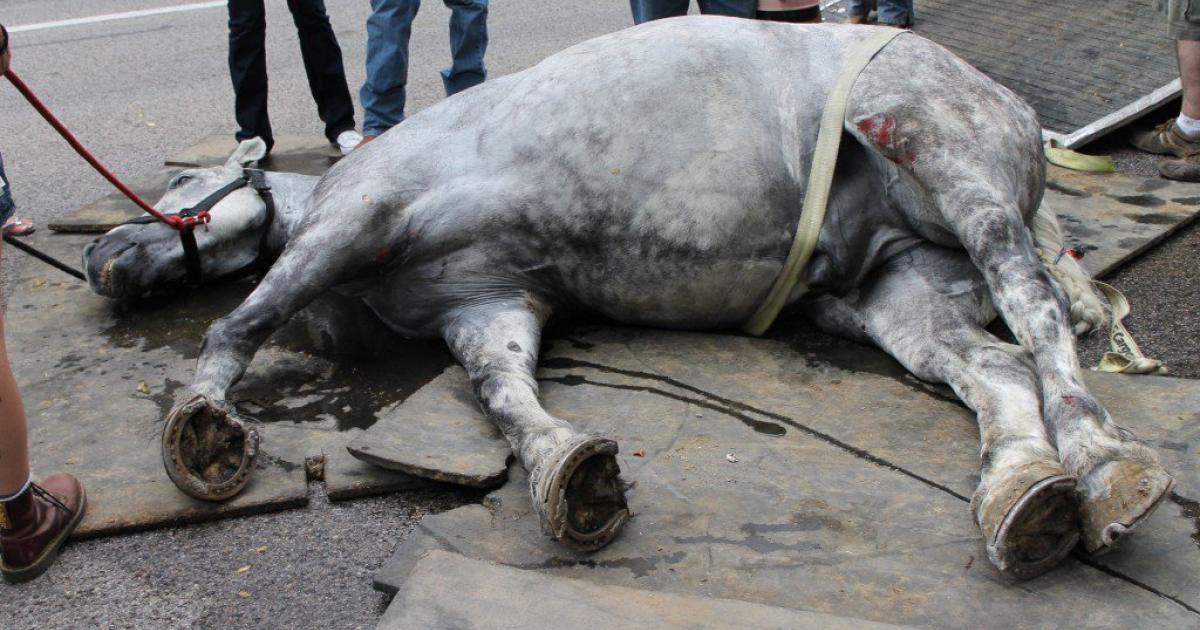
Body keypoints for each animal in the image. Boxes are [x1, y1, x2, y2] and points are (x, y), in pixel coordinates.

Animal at [84, 18, 1171, 580]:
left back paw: (1100, 463)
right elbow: (506, 397)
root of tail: (1014, 111)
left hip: (946, 159)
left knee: (1038, 317)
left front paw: (200, 426)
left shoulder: (362, 217)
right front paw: (567, 473)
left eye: (182, 185)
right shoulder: (488, 308)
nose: (99, 258)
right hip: (899, 294)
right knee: (998, 365)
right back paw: (1023, 493)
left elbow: (238, 322)